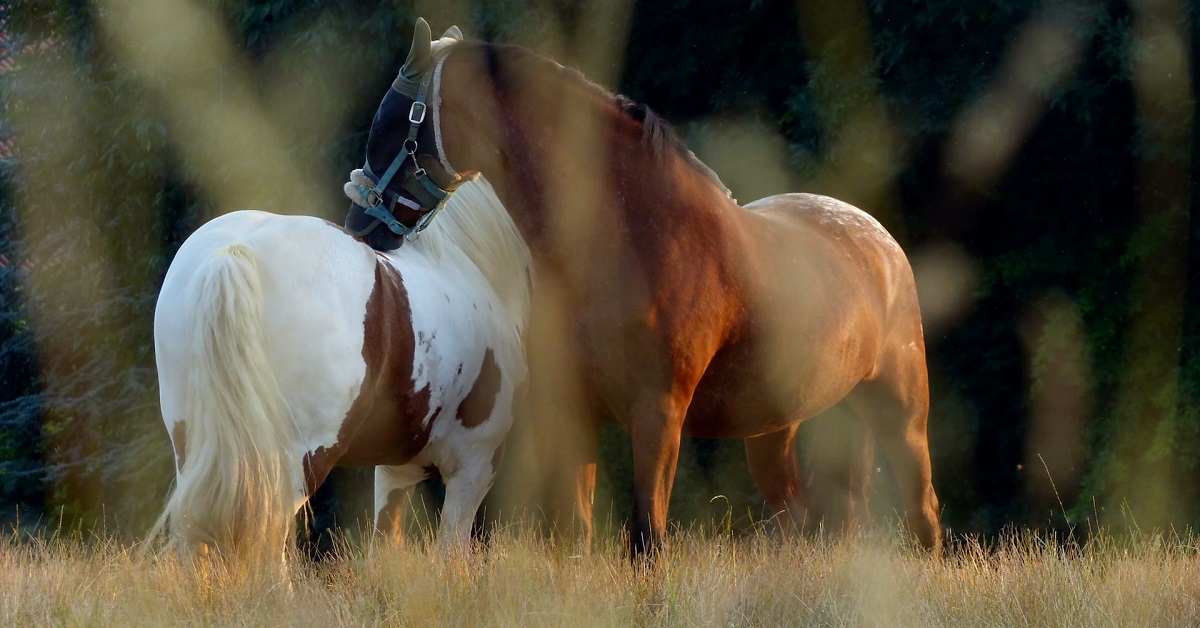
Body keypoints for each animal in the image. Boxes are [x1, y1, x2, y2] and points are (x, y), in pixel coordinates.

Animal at [350, 19, 940, 557]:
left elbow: (646, 538)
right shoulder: (575, 413)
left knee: (924, 514)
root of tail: (878, 239)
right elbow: (577, 533)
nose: (361, 226)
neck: (632, 237)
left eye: (391, 121)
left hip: (902, 416)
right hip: (775, 431)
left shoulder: (658, 413)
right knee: (803, 518)